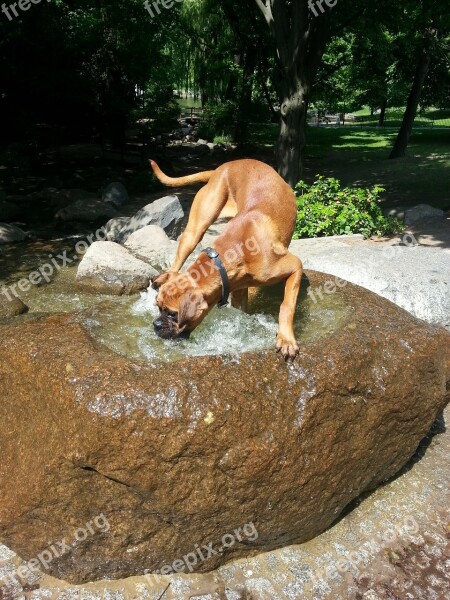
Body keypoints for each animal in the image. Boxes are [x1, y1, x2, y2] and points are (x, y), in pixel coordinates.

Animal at [150, 157, 302, 358]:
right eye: (158, 308)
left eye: (172, 314)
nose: (156, 325)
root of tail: (223, 167)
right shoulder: (238, 291)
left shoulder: (295, 266)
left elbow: (286, 305)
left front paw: (286, 340)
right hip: (194, 231)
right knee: (176, 262)